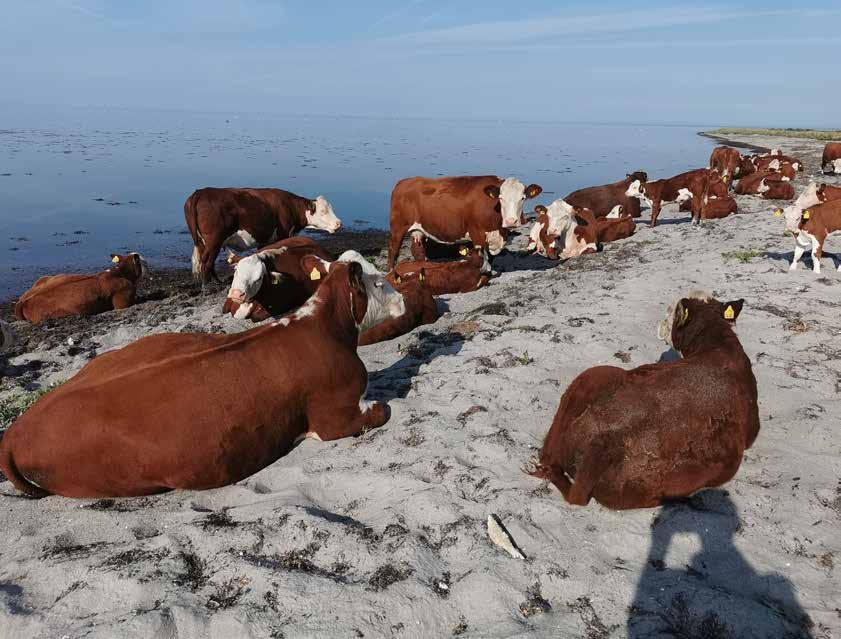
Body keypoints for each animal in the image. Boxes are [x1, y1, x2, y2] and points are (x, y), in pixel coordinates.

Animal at [185, 187, 341, 283]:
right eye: (323, 211)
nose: (338, 223)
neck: (289, 206)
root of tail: (201, 192)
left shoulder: (264, 240)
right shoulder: (283, 234)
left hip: (203, 241)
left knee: (203, 260)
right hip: (214, 240)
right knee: (207, 260)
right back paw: (210, 283)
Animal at [387, 176, 542, 270]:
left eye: (523, 198)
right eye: (501, 198)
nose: (511, 221)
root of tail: (404, 182)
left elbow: (491, 257)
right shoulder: (477, 232)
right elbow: (481, 255)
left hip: (419, 229)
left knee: (418, 250)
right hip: (397, 228)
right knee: (393, 250)